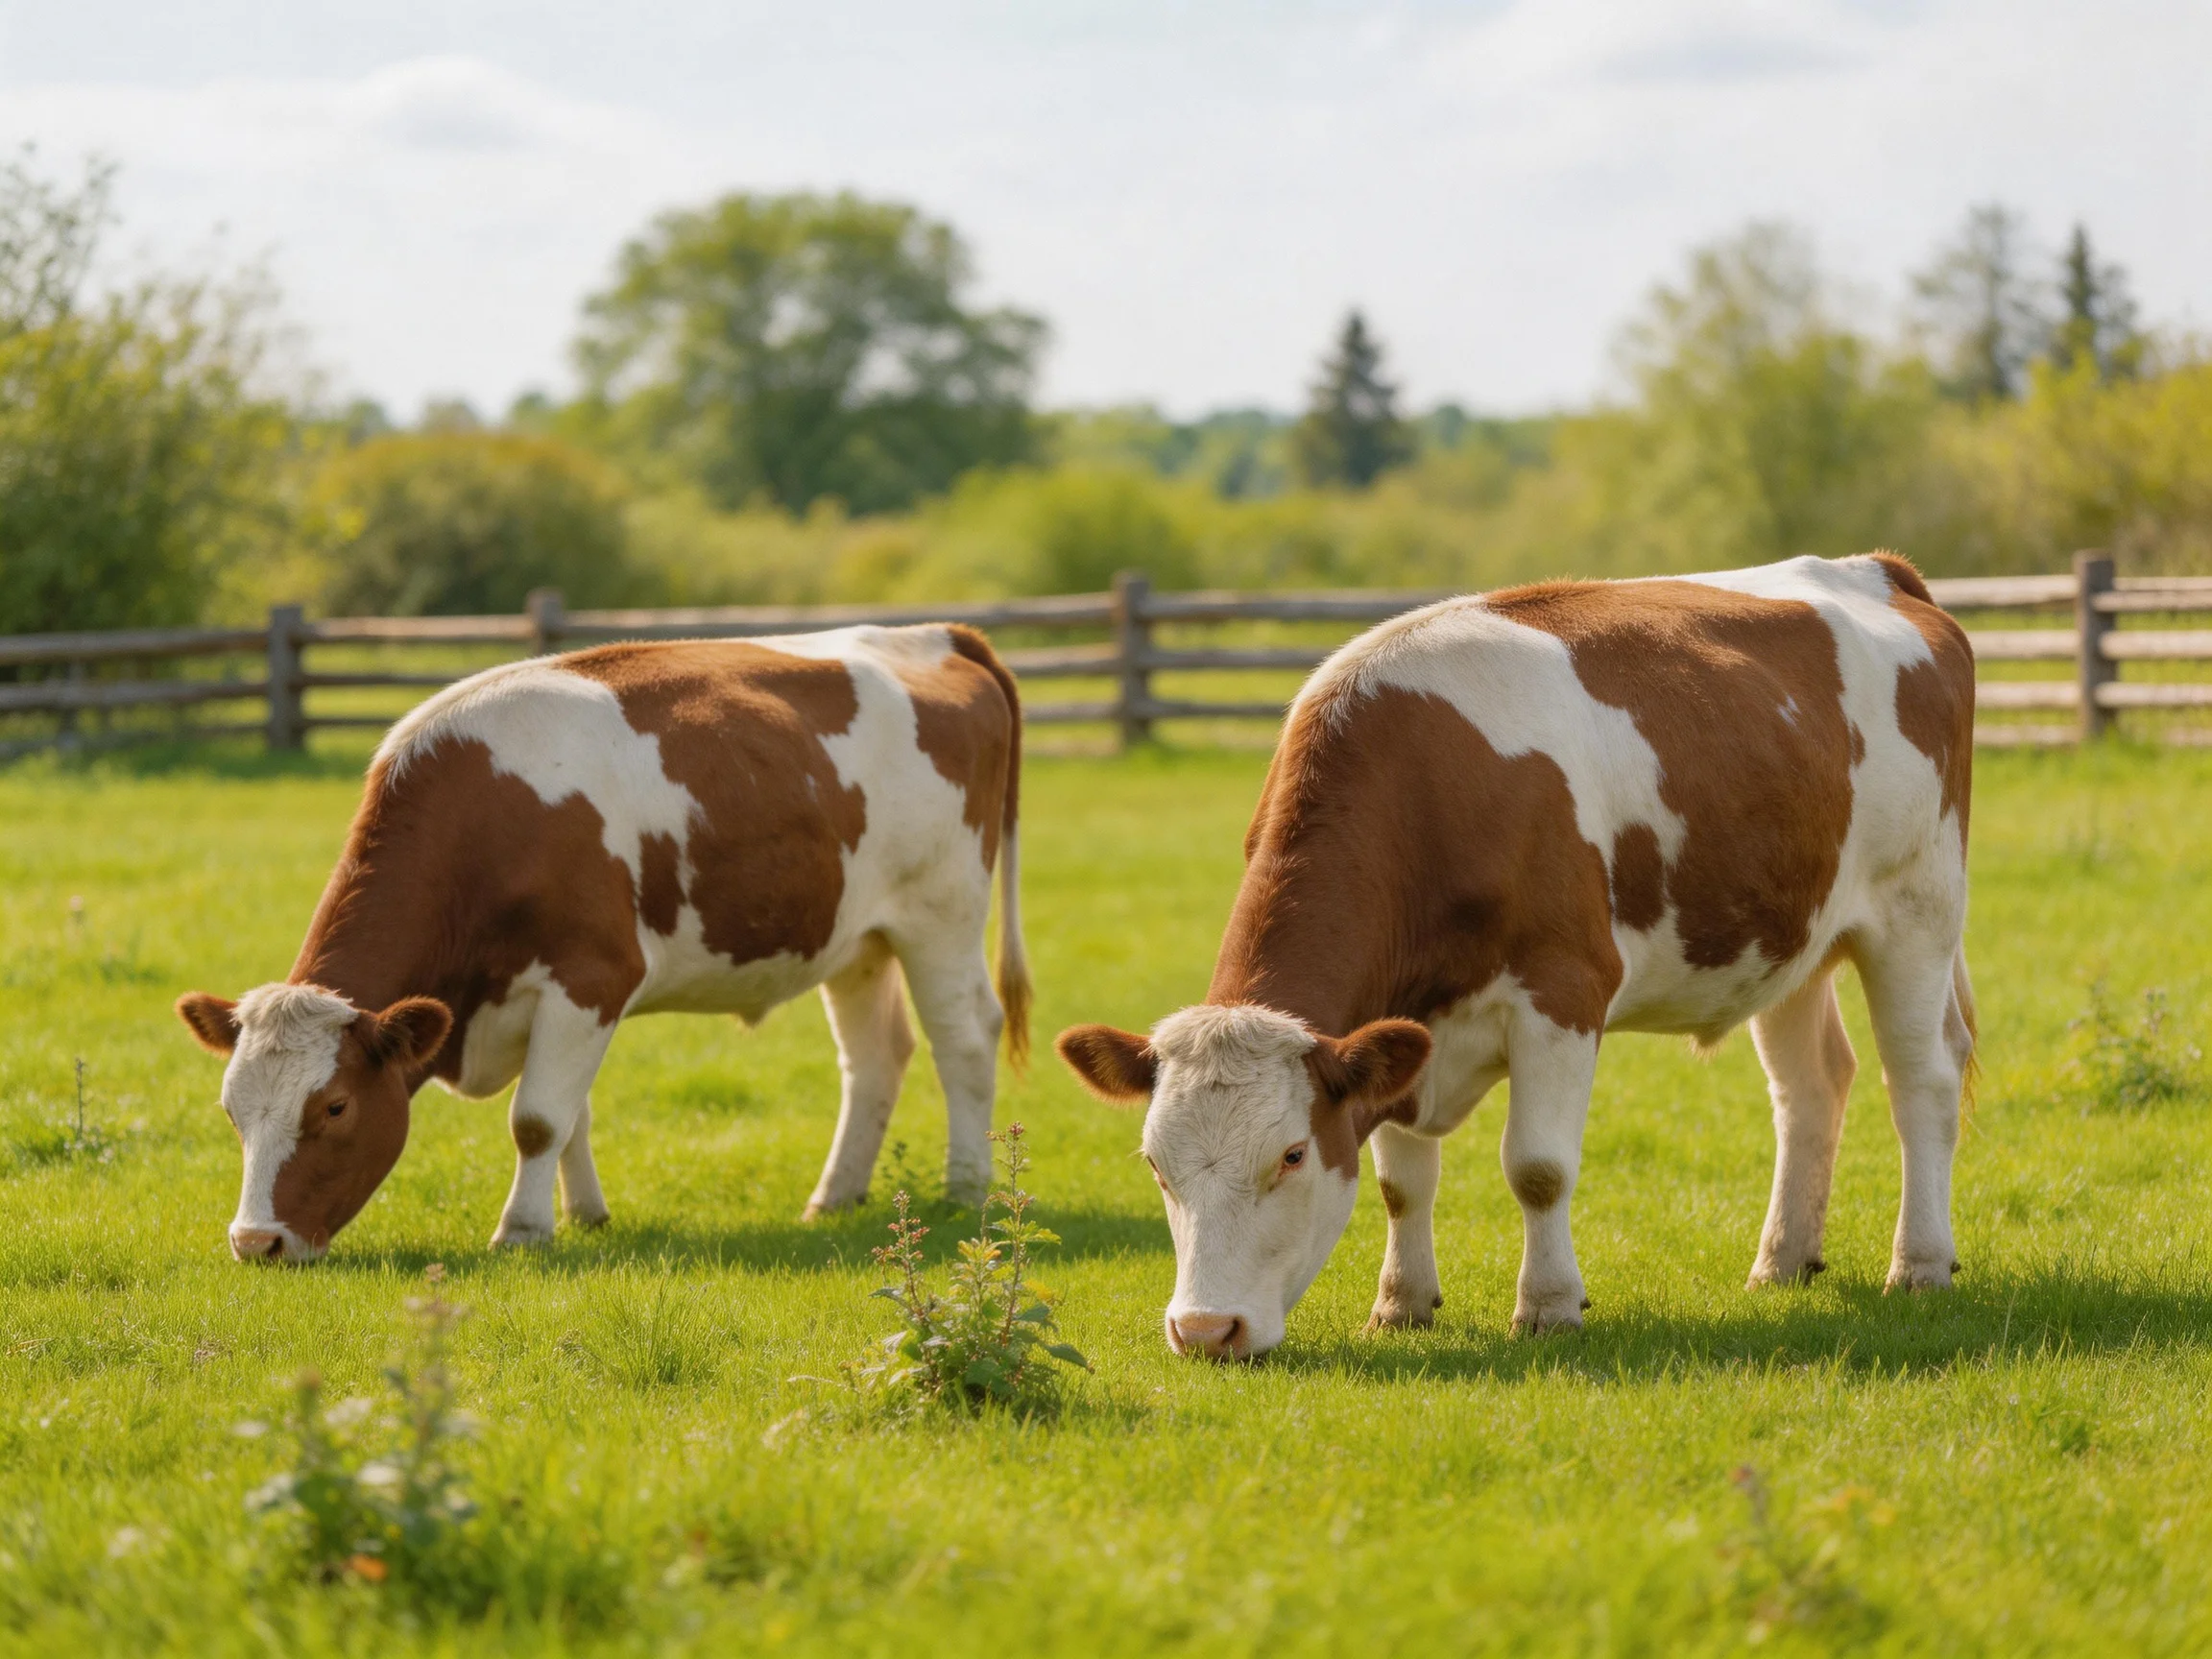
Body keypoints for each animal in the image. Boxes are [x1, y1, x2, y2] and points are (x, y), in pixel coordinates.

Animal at [175, 624, 1028, 1262]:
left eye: (336, 1106)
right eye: (232, 1110)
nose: (256, 1243)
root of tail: (931, 635)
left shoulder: (591, 976)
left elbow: (537, 1118)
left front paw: (523, 1231)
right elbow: (571, 1113)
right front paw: (584, 1215)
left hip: (941, 914)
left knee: (964, 1038)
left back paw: (966, 1188)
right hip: (858, 939)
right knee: (875, 1055)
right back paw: (834, 1197)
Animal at [1057, 553, 1977, 1359]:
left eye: (1289, 1154)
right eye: (1156, 1164)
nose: (1205, 1331)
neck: (1428, 790)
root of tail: (1876, 569)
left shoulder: (1563, 992)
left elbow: (1537, 1169)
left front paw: (1548, 1306)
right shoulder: (1405, 1027)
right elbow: (1401, 1181)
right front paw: (1400, 1304)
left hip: (1917, 909)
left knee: (1920, 1081)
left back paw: (1920, 1263)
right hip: (1791, 935)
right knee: (1810, 1087)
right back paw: (1783, 1260)